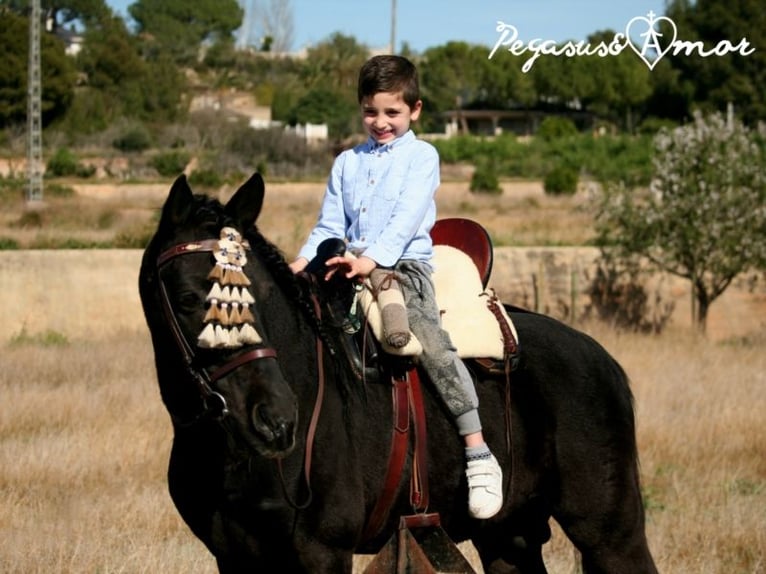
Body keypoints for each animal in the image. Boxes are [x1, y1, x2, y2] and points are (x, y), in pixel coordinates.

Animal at [140, 173, 660, 572]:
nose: (276, 422)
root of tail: (599, 358)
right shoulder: (234, 557)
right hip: (508, 537)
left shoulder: (322, 552)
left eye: (265, 296)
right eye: (187, 298)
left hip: (611, 534)